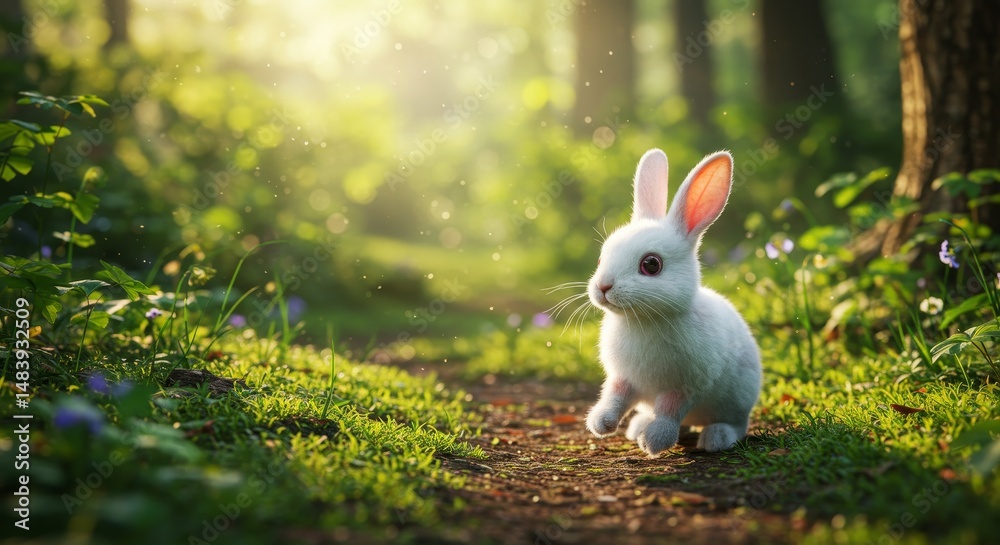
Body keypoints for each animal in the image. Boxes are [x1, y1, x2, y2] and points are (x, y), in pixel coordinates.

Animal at [584, 148, 762, 454]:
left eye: (651, 265)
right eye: (600, 259)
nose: (603, 286)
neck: (642, 320)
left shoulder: (686, 384)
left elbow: (669, 409)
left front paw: (655, 441)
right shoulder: (624, 377)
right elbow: (615, 396)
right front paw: (601, 423)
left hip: (737, 400)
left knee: (737, 424)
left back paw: (716, 438)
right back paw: (638, 426)